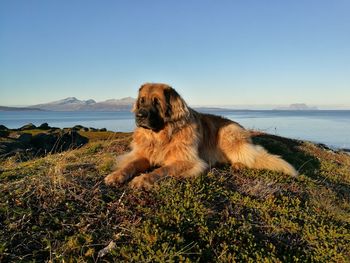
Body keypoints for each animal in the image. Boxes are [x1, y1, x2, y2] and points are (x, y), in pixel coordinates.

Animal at [104, 83, 298, 189]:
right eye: (141, 100)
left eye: (157, 102)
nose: (139, 115)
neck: (162, 135)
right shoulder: (144, 154)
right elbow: (131, 165)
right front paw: (116, 175)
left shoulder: (186, 160)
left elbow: (162, 170)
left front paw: (143, 179)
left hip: (229, 137)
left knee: (251, 156)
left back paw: (237, 165)